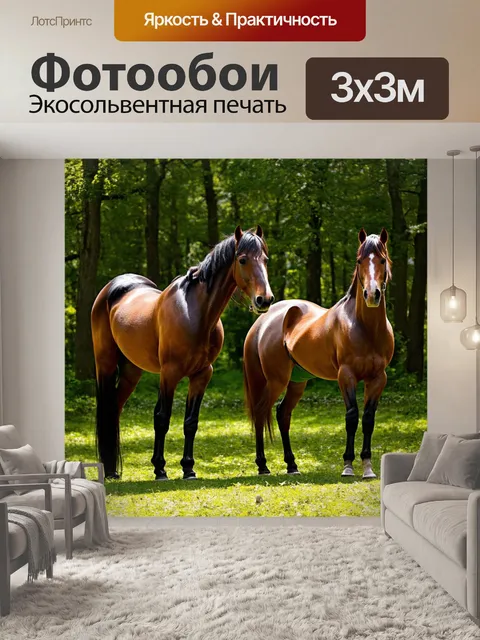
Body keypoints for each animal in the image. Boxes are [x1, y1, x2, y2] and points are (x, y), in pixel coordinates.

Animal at [91, 225, 273, 481]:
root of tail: (113, 287)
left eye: (265, 260)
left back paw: (112, 469)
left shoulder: (201, 375)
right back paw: (109, 470)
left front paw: (188, 468)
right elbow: (162, 418)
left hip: (131, 372)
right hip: (105, 364)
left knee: (114, 409)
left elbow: (190, 422)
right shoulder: (169, 373)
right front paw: (159, 468)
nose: (264, 300)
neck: (197, 314)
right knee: (108, 409)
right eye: (243, 259)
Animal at [243, 228, 394, 479]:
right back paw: (263, 465)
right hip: (275, 381)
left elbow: (368, 419)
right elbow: (352, 416)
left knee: (282, 414)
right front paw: (347, 465)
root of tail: (264, 319)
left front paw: (368, 467)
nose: (371, 294)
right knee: (261, 411)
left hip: (297, 382)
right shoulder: (346, 376)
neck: (366, 329)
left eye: (382, 260)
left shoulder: (378, 379)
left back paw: (292, 465)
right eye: (359, 260)